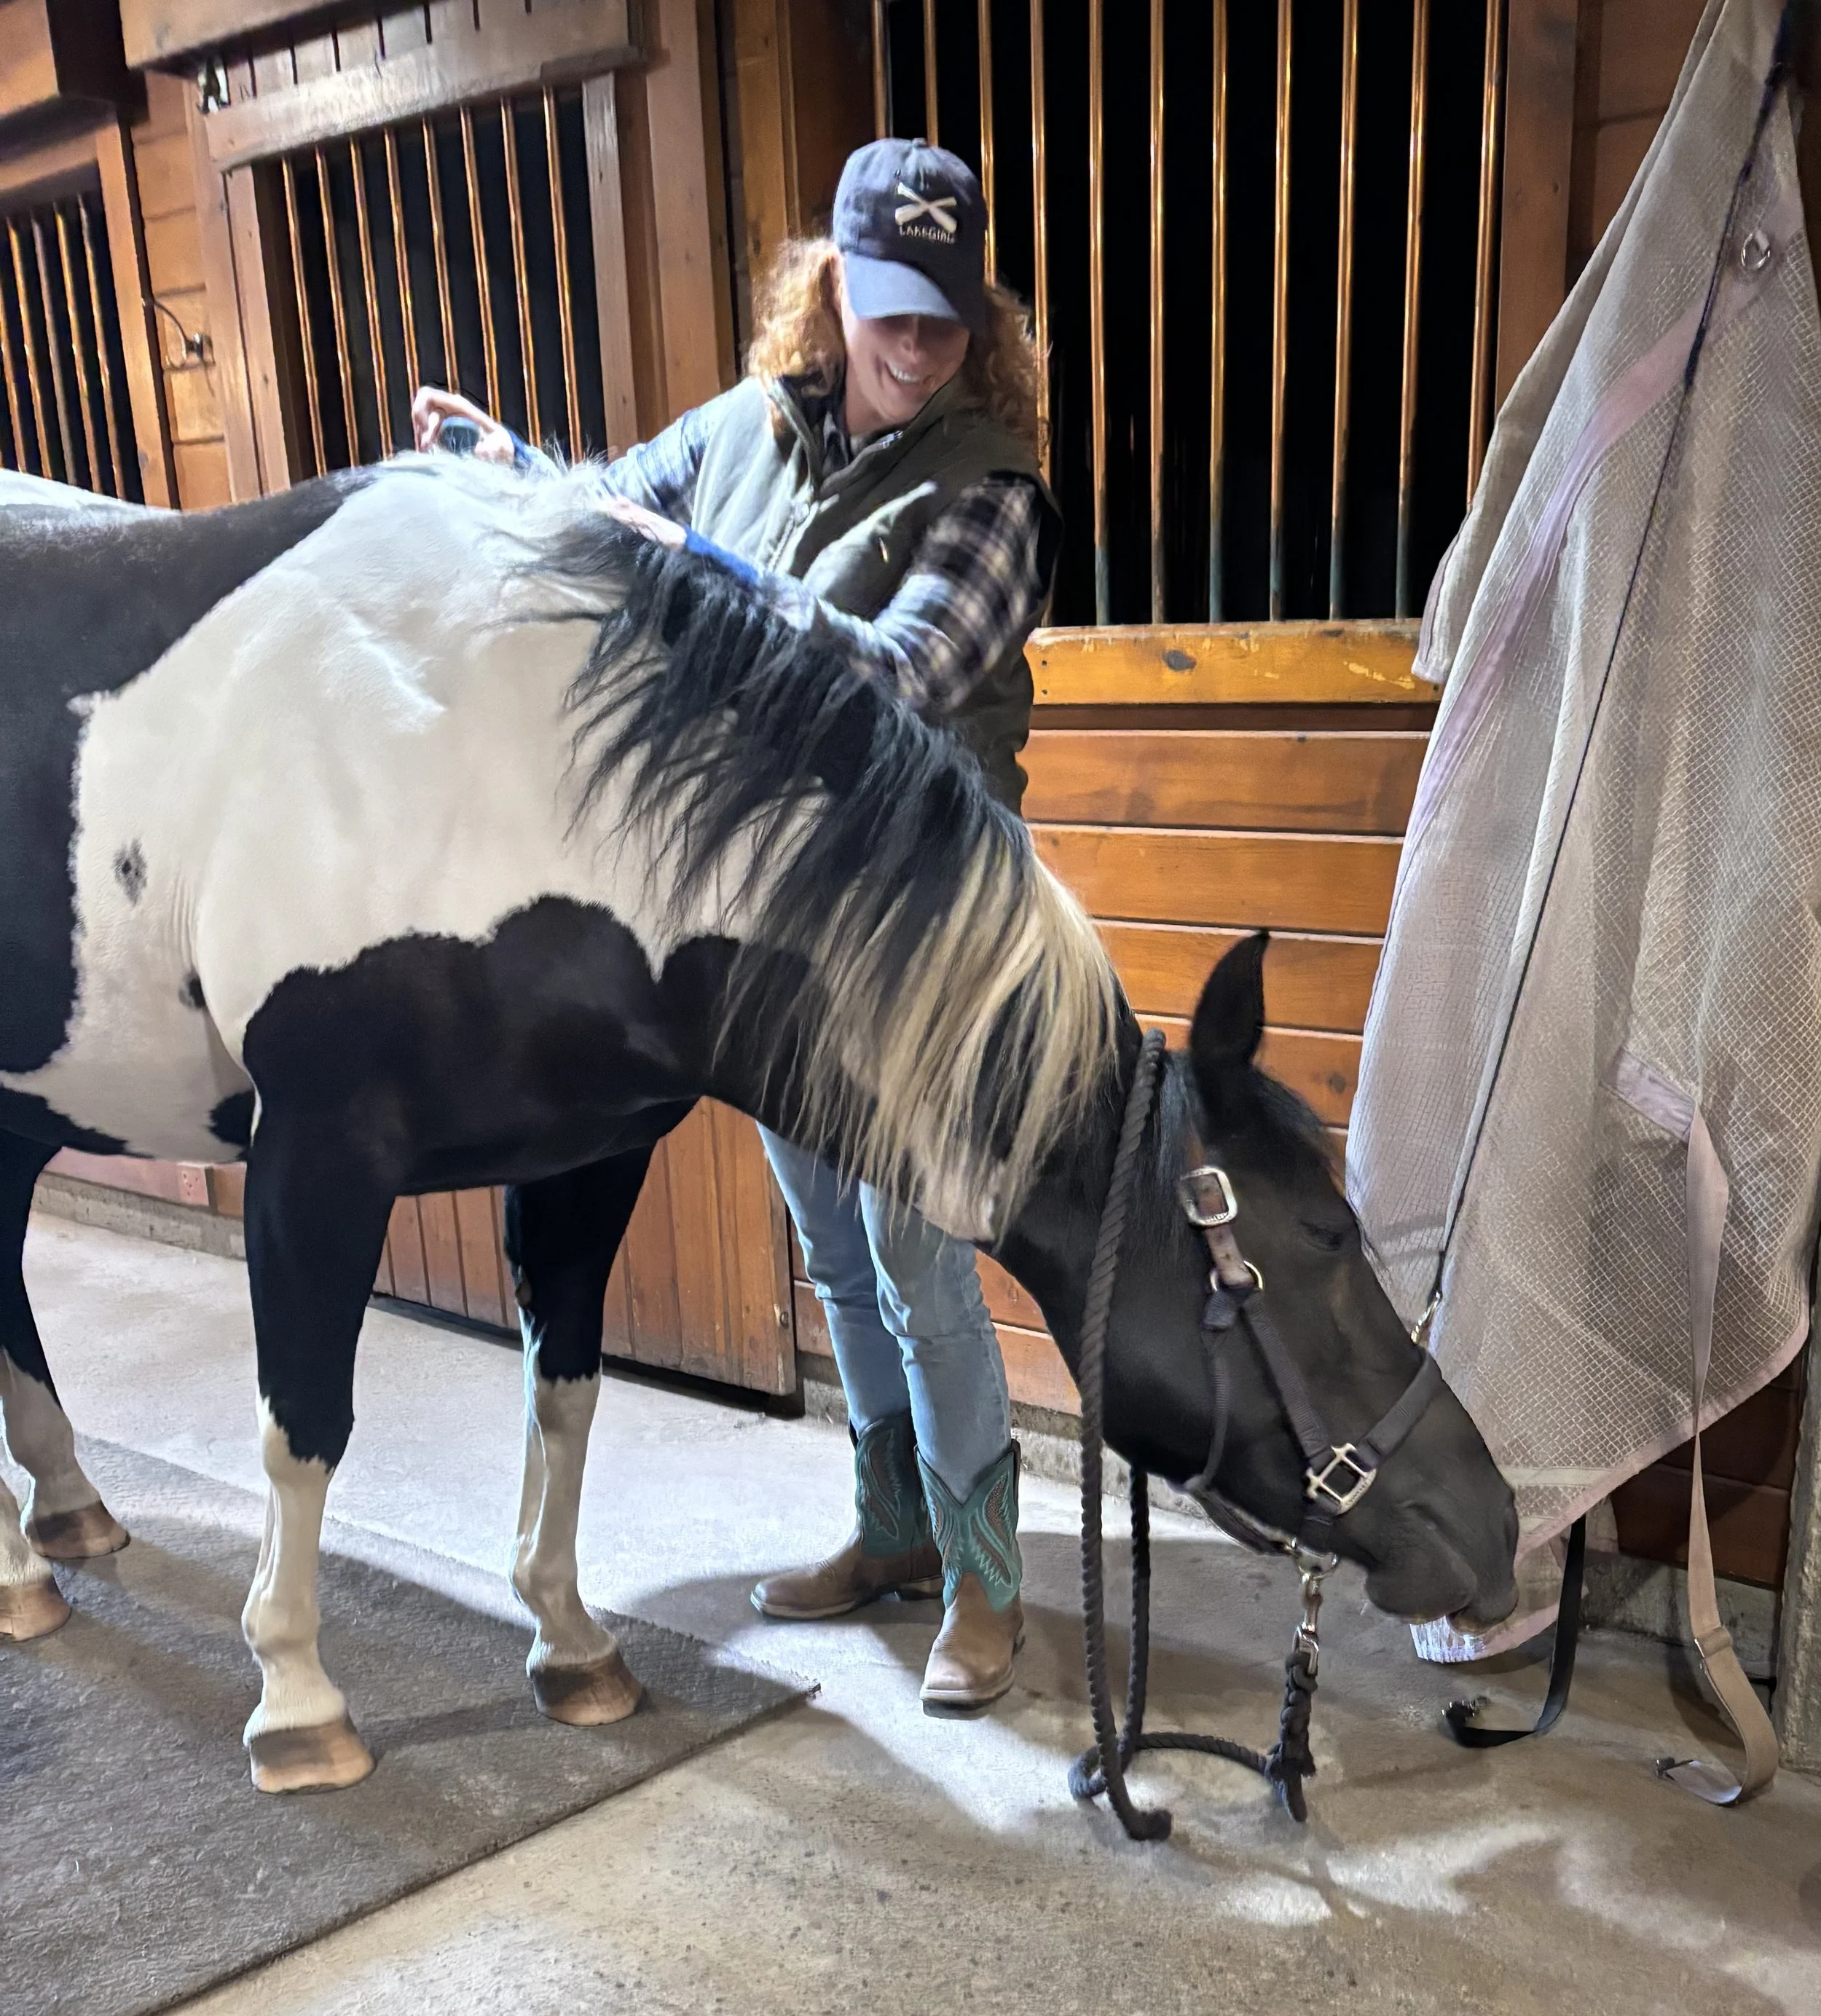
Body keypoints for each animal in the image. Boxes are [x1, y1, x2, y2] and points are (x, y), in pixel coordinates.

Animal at [0, 459, 1518, 1793]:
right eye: (1320, 1237)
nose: (1494, 1528)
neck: (482, 764)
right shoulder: (316, 1159)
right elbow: (305, 1424)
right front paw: (298, 1701)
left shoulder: (586, 1162)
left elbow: (567, 1391)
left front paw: (572, 1646)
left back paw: (61, 1522)